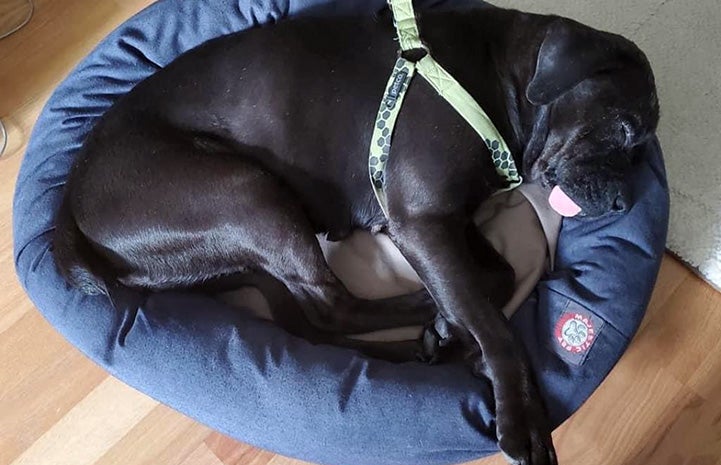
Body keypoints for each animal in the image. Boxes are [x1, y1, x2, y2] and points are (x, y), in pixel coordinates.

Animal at [52, 5, 660, 462]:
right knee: (330, 306)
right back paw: (423, 318)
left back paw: (428, 334)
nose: (624, 202)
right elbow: (494, 323)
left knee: (309, 319)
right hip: (248, 193)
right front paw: (522, 416)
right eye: (624, 127)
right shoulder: (422, 223)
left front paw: (457, 325)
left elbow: (500, 275)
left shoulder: (444, 223)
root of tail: (71, 209)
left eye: (641, 145)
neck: (498, 77)